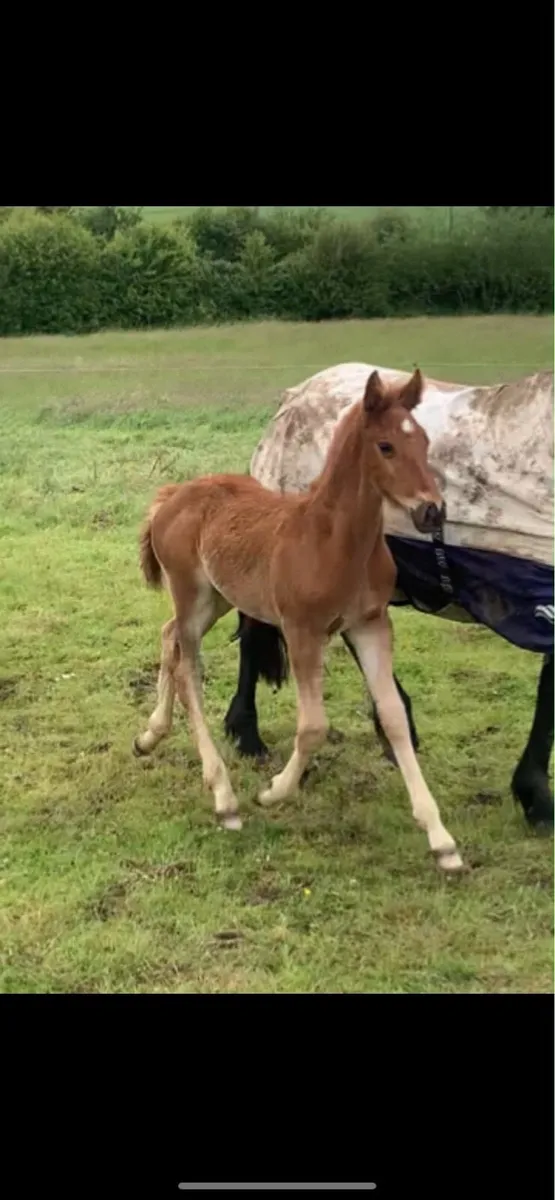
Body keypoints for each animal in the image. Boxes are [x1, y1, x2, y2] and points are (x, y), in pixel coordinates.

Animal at [134, 368, 465, 873]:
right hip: (191, 594)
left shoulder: (370, 625)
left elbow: (392, 715)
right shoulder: (302, 630)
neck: (334, 541)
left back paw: (151, 734)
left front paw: (441, 839)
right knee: (188, 667)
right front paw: (273, 792)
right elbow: (313, 727)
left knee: (168, 638)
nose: (432, 512)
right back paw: (225, 797)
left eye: (425, 441)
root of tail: (173, 495)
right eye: (386, 446)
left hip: (219, 597)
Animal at [223, 363, 554, 832]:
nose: (433, 512)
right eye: (387, 447)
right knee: (256, 636)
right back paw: (248, 736)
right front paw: (536, 799)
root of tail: (295, 397)